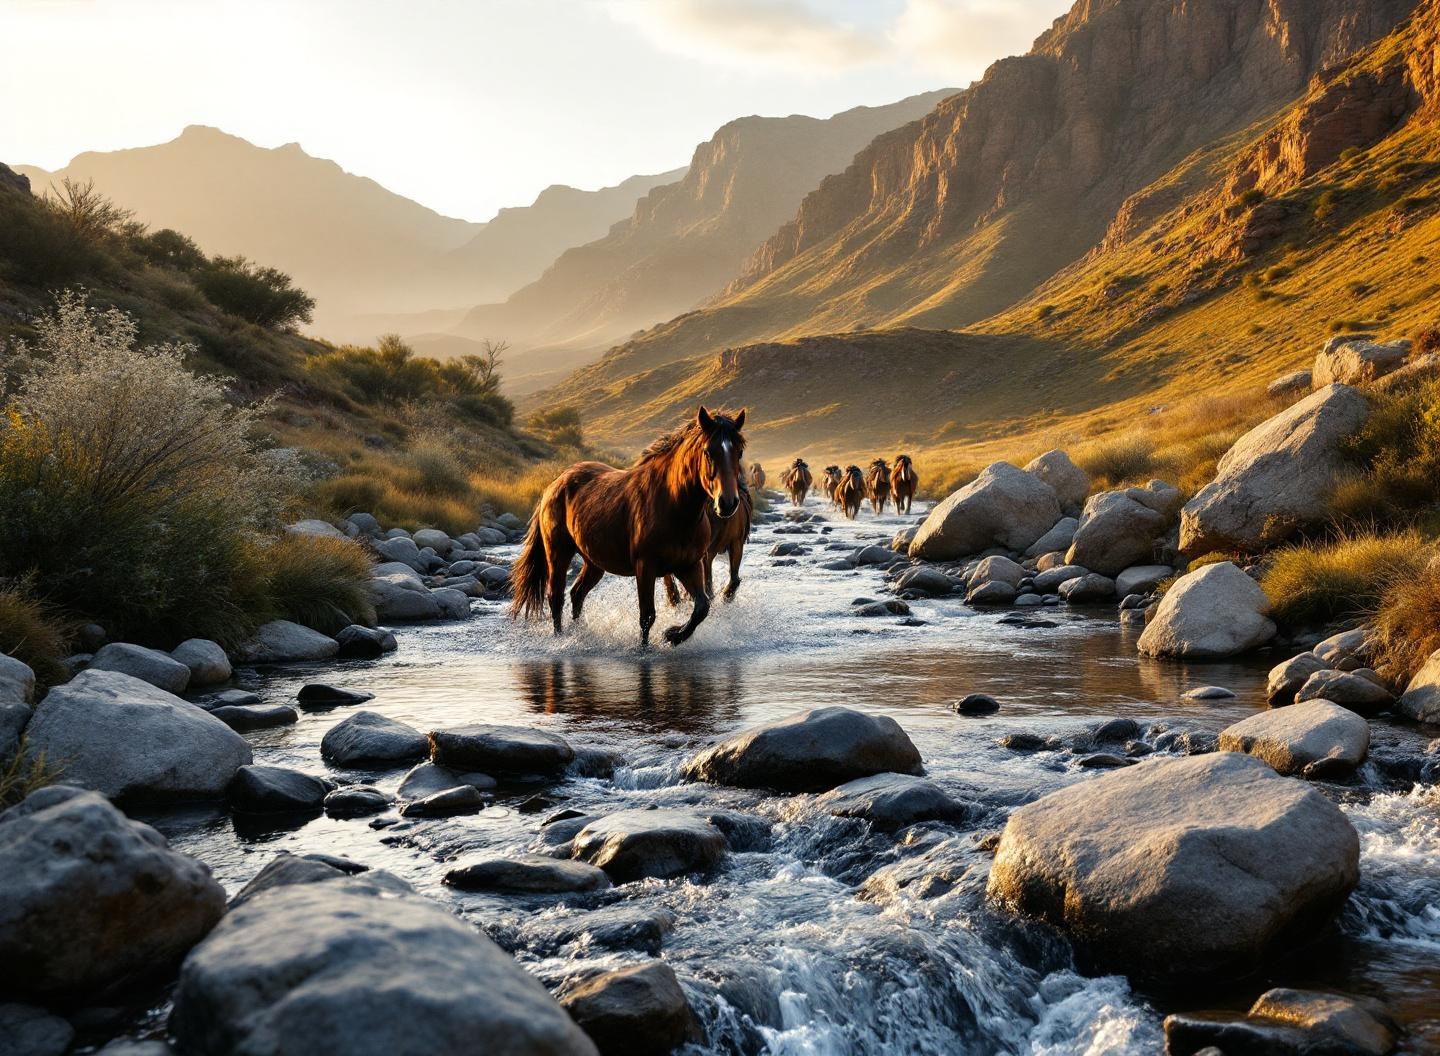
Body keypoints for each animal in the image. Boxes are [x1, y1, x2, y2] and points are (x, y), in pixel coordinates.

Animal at [512, 406, 747, 647]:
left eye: (739, 452)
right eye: (708, 452)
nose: (727, 503)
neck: (672, 506)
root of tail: (555, 483)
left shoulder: (689, 565)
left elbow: (702, 607)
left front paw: (672, 635)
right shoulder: (645, 566)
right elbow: (647, 616)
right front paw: (646, 647)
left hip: (594, 562)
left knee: (577, 594)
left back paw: (580, 633)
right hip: (558, 553)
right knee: (556, 598)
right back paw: (561, 638)